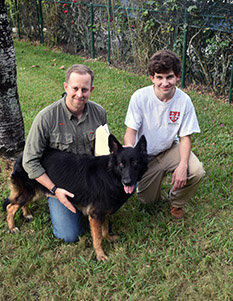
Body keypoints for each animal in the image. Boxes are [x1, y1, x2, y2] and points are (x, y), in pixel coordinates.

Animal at [2, 134, 147, 260]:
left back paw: (27, 214)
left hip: (36, 192)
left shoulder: (103, 211)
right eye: (121, 164)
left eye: (135, 163)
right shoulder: (95, 215)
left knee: (20, 203)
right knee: (10, 207)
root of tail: (23, 154)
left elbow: (104, 228)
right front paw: (100, 255)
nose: (127, 182)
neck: (111, 175)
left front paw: (108, 238)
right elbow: (97, 238)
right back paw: (12, 227)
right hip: (30, 192)